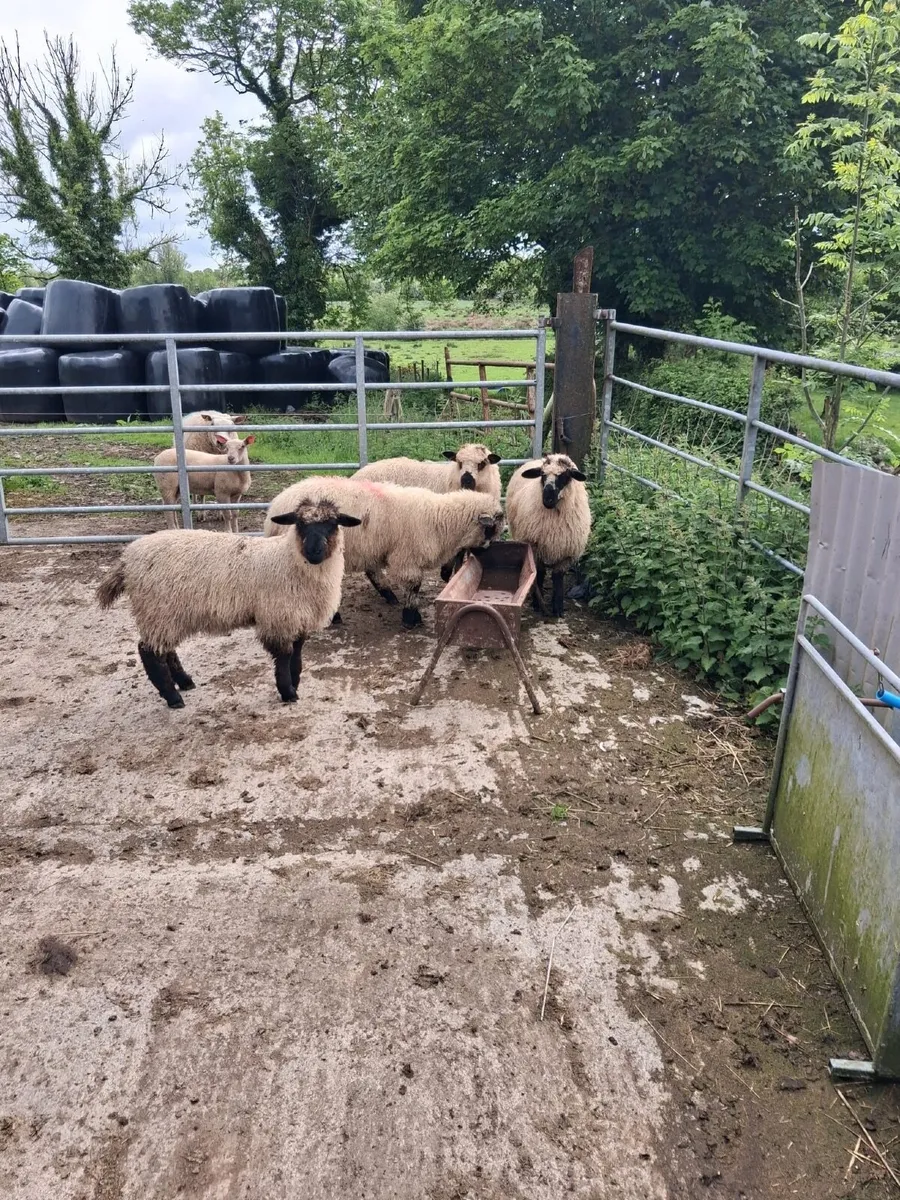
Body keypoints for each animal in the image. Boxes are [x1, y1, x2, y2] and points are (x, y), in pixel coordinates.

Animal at [95, 499, 361, 708]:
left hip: (166, 614)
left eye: (333, 524)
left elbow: (297, 653)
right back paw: (172, 697)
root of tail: (127, 559)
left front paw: (295, 682)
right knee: (149, 653)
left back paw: (184, 682)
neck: (289, 560)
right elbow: (285, 655)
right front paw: (287, 691)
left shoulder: (296, 616)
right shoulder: (277, 616)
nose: (314, 551)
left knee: (165, 650)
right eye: (300, 523)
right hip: (157, 609)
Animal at [264, 476, 505, 628]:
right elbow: (413, 586)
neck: (439, 518)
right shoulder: (407, 558)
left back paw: (387, 596)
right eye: (490, 528)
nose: (487, 551)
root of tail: (275, 506)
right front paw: (411, 619)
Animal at [505, 452, 590, 618]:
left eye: (565, 475)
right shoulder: (536, 547)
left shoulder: (565, 553)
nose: (547, 499)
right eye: (542, 475)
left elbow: (558, 578)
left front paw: (558, 608)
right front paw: (538, 604)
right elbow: (539, 573)